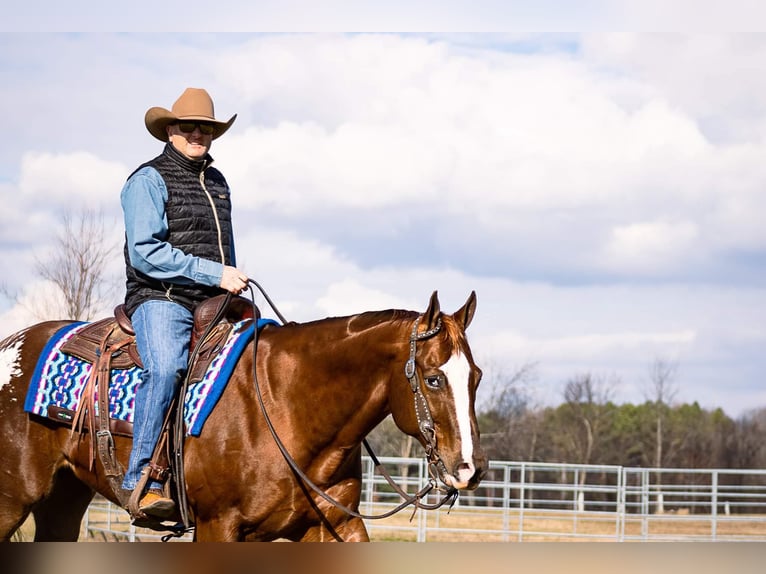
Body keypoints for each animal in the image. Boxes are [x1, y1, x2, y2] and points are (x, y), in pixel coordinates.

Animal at [0, 294, 488, 544]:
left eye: (477, 376)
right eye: (432, 379)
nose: (471, 468)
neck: (286, 407)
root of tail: (12, 342)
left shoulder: (335, 526)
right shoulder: (218, 526)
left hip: (63, 499)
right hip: (11, 502)